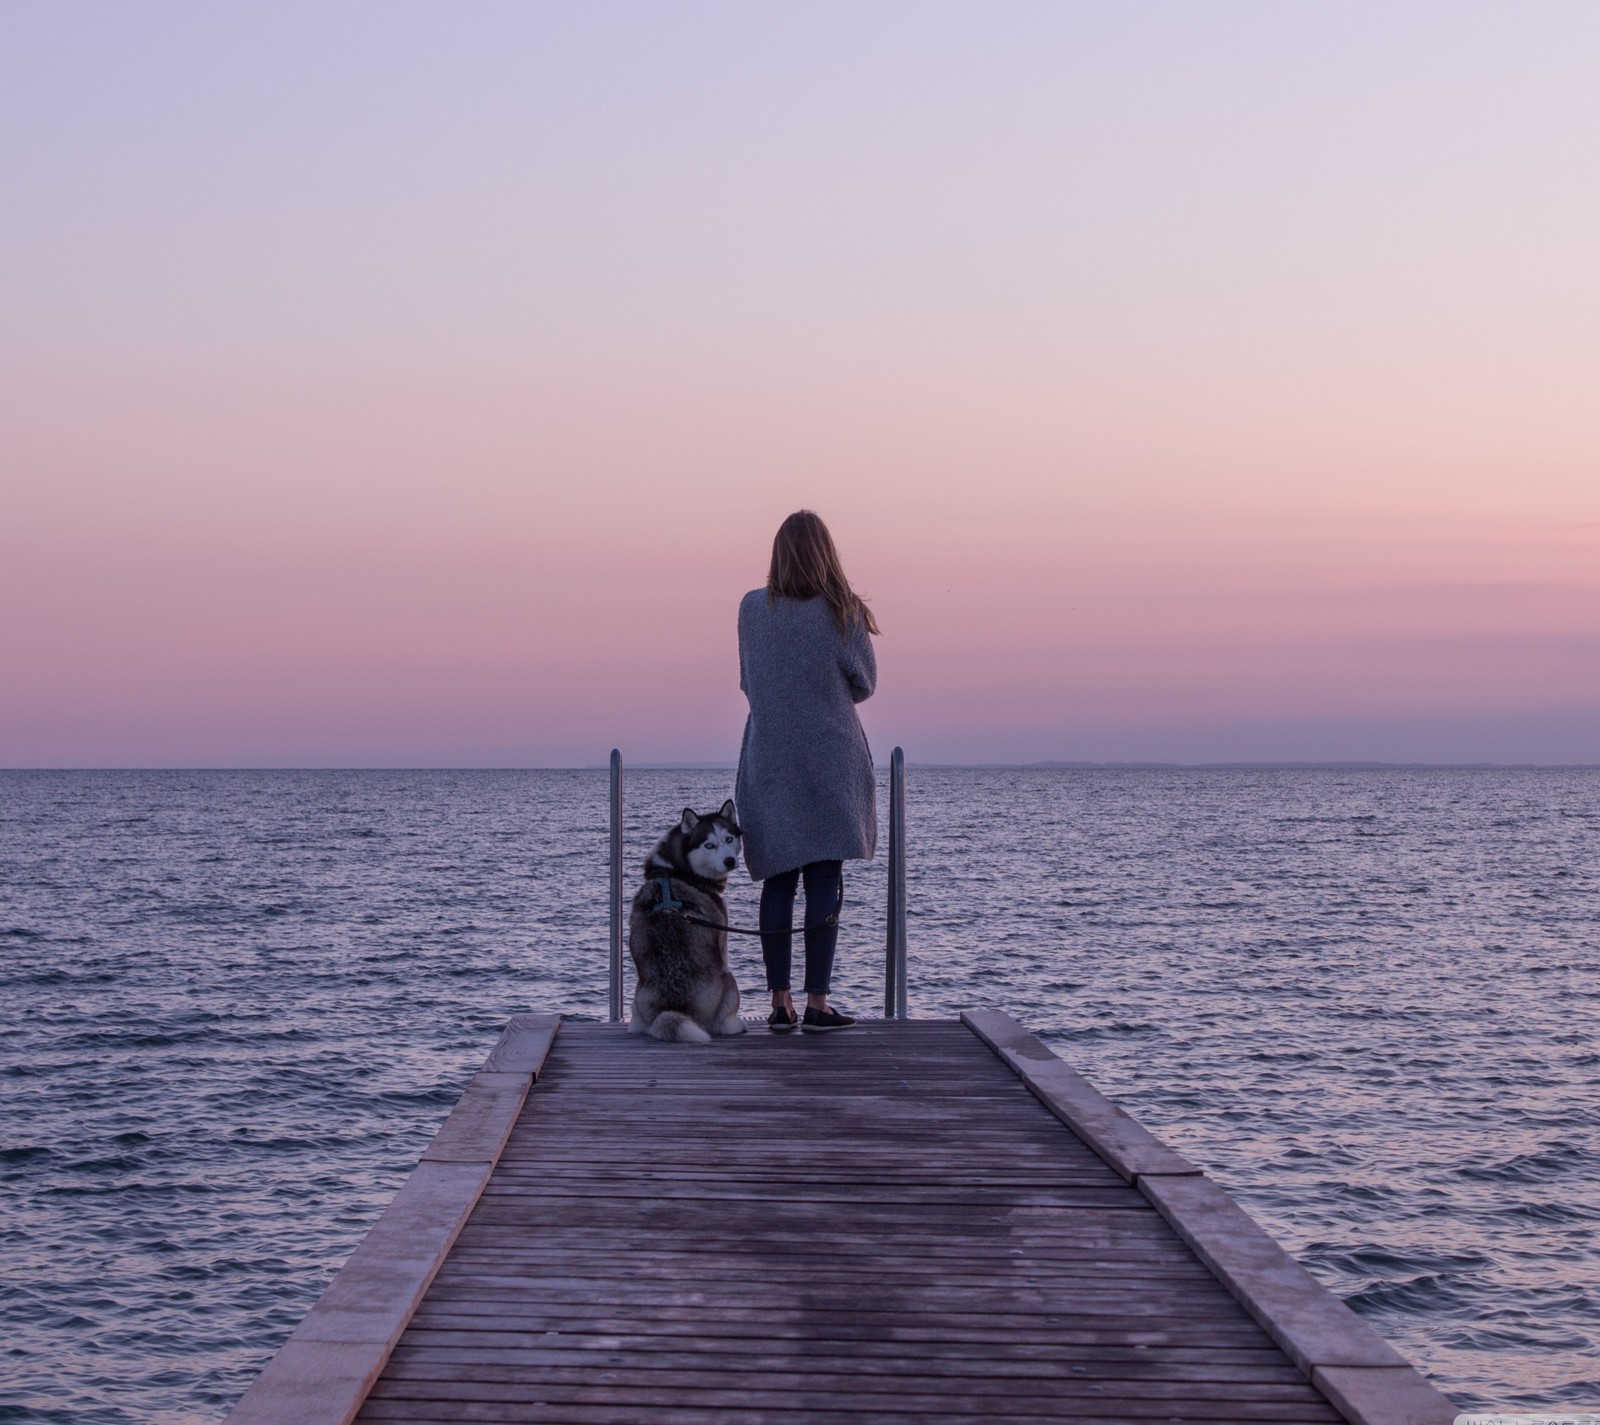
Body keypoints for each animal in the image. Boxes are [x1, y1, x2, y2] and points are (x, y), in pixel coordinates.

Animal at [627, 802, 745, 1049]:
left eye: (729, 839)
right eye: (709, 845)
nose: (729, 861)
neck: (675, 870)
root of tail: (675, 1009)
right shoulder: (722, 937)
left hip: (637, 998)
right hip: (730, 982)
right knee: (725, 1023)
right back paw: (736, 1024)